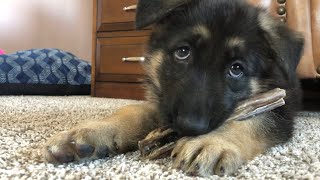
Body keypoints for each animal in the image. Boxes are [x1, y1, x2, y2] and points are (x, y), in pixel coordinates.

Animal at [43, 0, 304, 176]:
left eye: (236, 68)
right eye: (183, 52)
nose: (191, 127)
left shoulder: (281, 106)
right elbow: (133, 111)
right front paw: (90, 131)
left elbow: (255, 119)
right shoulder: (163, 101)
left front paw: (215, 142)